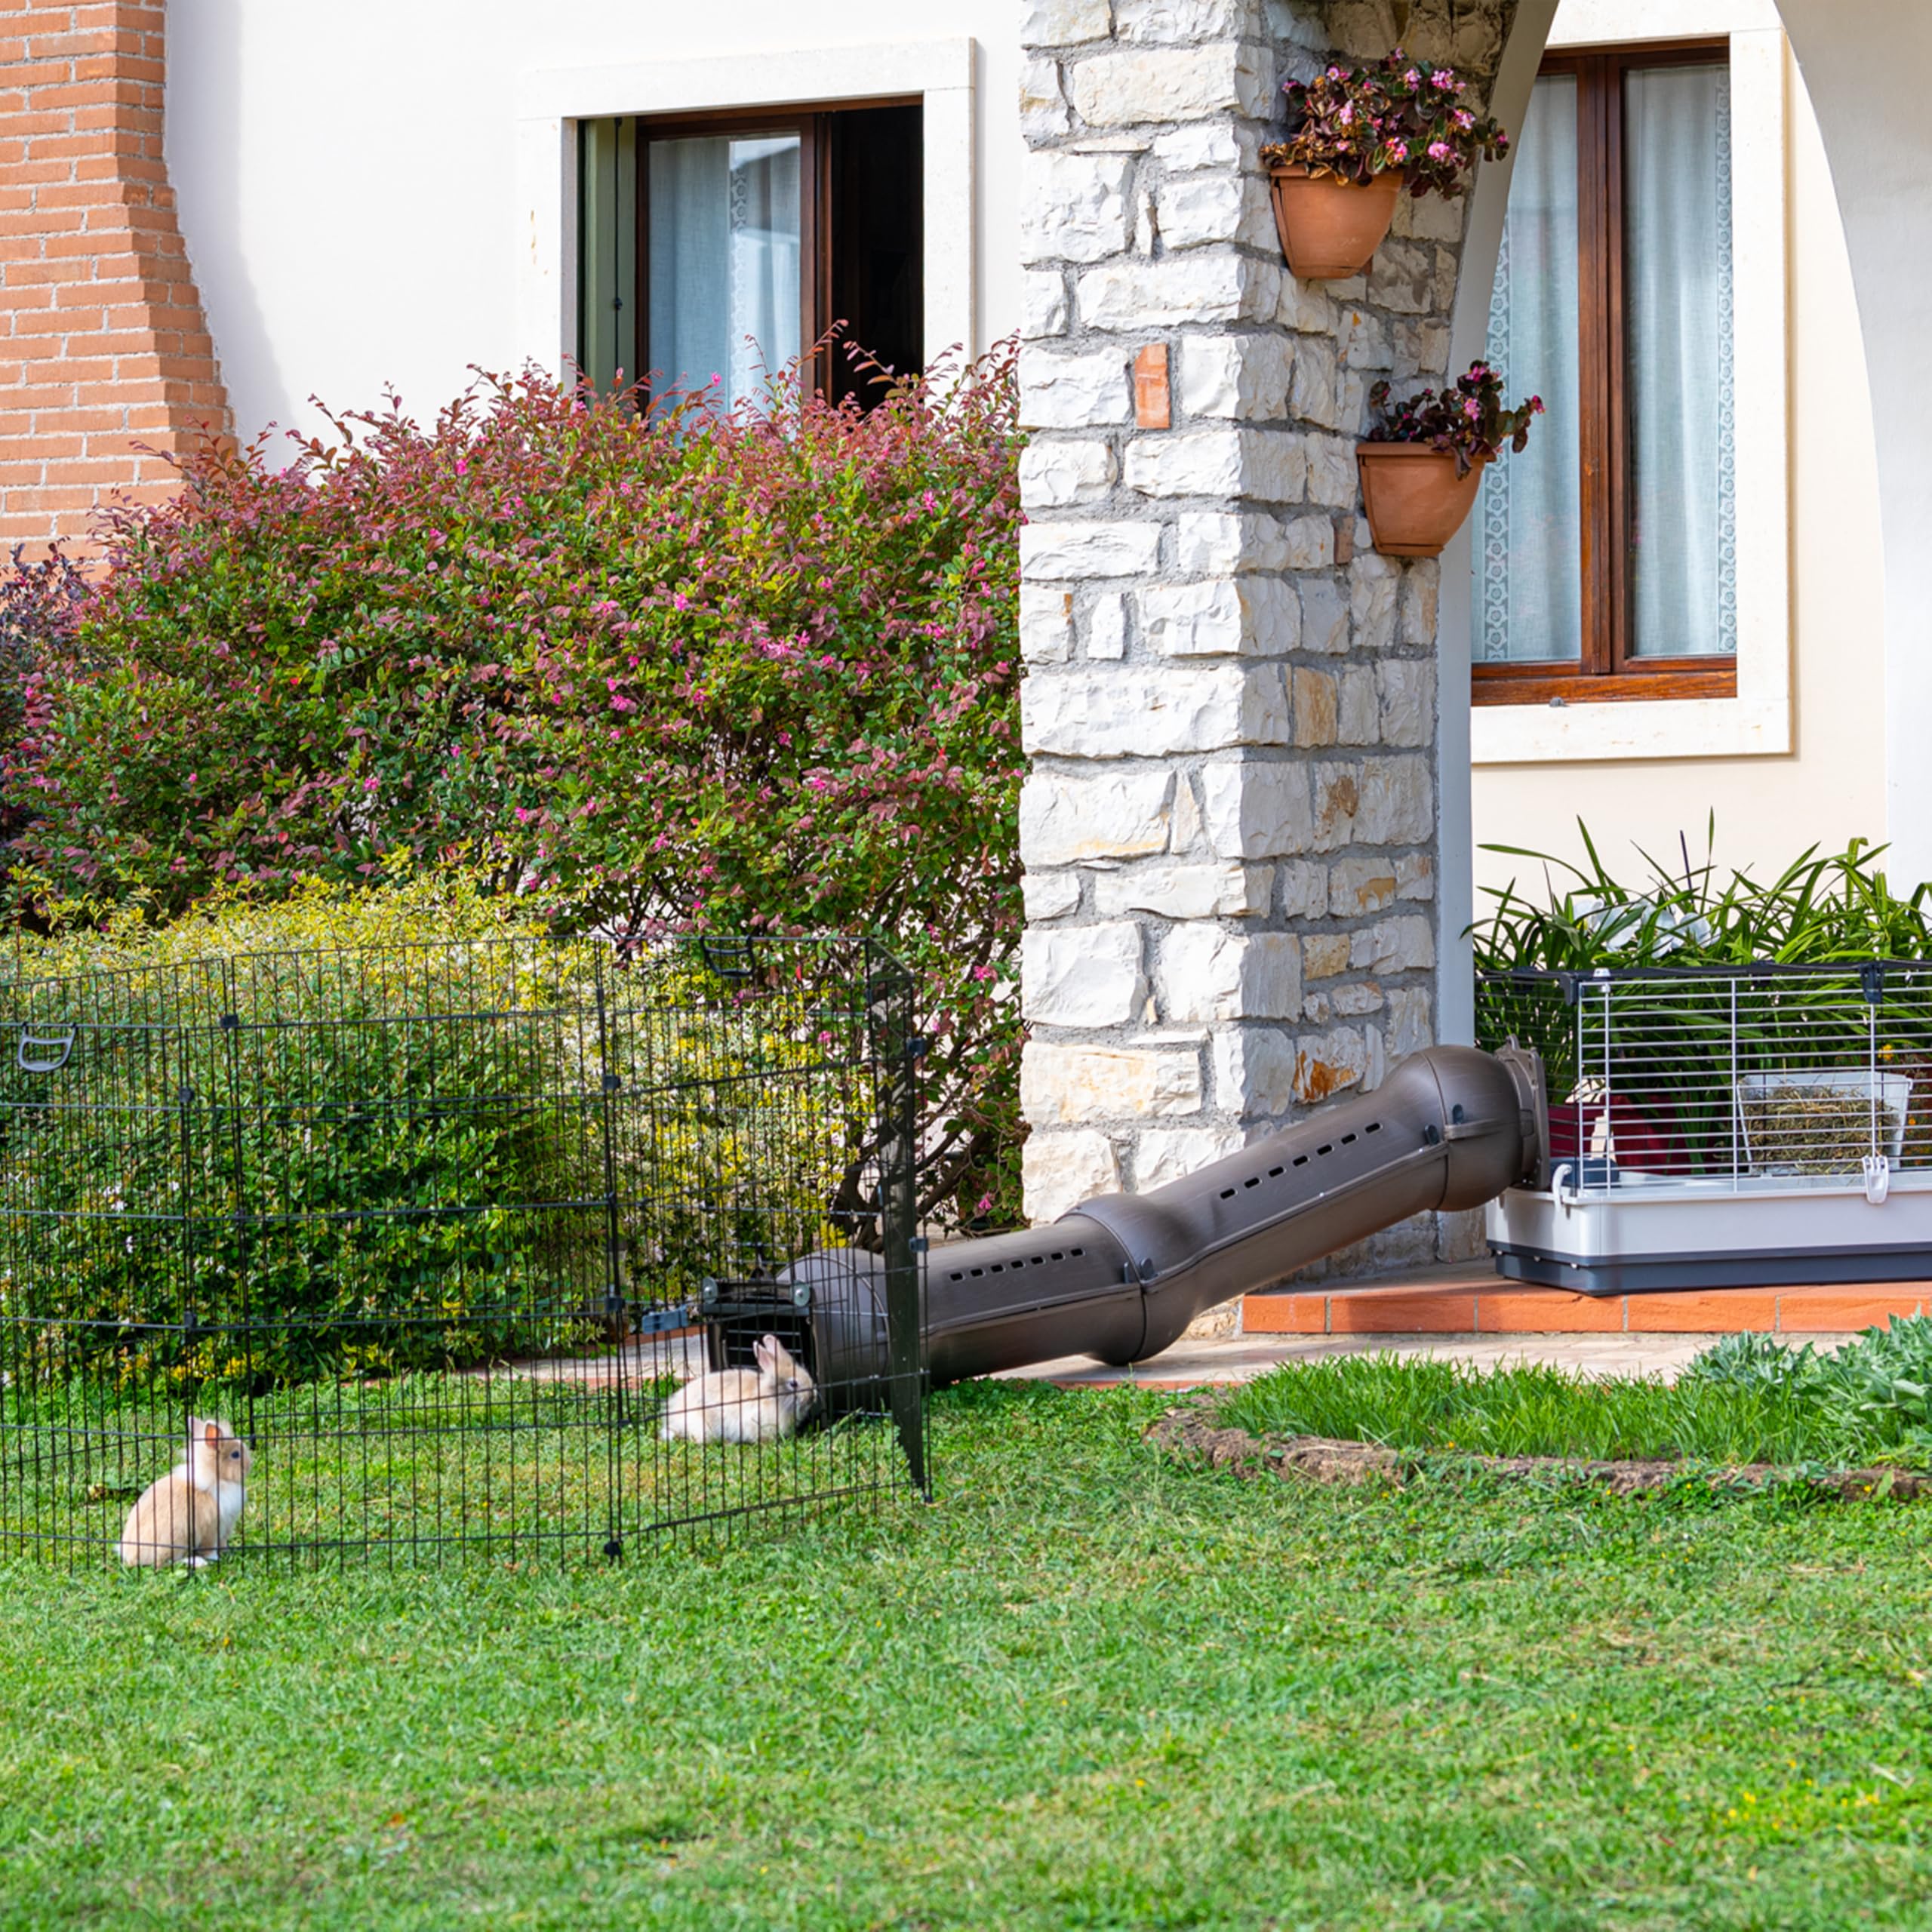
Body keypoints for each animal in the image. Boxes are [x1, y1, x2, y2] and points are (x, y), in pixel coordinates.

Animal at [118, 1417, 253, 1569]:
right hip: (176, 1540)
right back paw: (197, 1562)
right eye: (235, 1455)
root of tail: (131, 1556)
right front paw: (215, 1558)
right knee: (166, 1563)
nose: (250, 1465)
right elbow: (210, 1548)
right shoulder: (212, 1529)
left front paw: (226, 1551)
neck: (217, 1478)